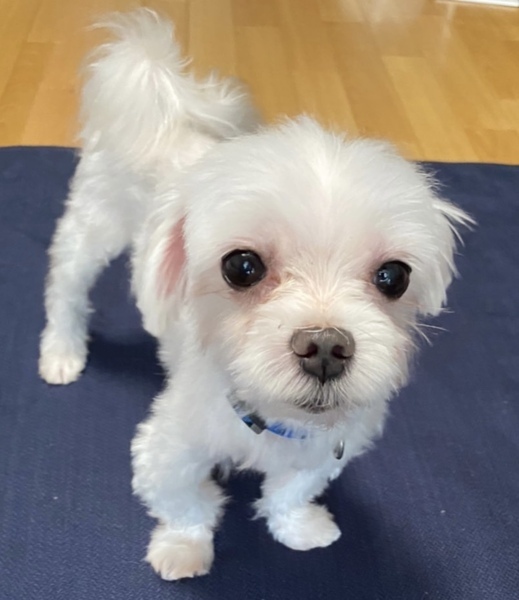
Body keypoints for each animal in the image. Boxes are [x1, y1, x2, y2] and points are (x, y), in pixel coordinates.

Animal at [39, 9, 471, 581]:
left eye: (393, 277)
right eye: (241, 267)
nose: (325, 346)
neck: (273, 423)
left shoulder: (327, 447)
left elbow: (291, 491)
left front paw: (299, 527)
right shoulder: (166, 449)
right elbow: (186, 503)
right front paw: (183, 549)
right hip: (95, 224)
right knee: (66, 286)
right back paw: (61, 350)